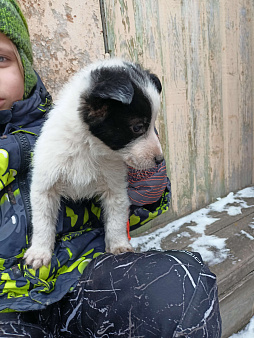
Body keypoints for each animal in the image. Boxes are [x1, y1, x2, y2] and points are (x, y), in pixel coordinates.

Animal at [23, 58, 163, 270]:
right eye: (138, 127)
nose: (159, 160)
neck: (89, 147)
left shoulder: (115, 187)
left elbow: (116, 220)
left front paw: (118, 246)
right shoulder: (45, 183)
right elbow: (42, 221)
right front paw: (39, 252)